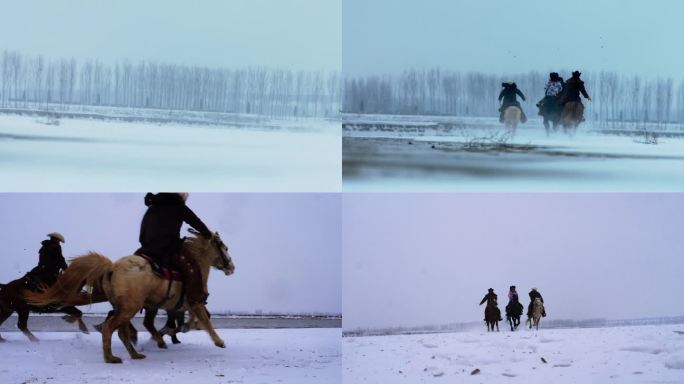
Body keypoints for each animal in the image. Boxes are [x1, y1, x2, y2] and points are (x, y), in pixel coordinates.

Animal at [26, 230, 235, 364]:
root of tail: (111, 267)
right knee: (112, 328)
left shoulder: (176, 306)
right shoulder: (194, 302)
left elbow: (183, 322)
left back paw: (135, 354)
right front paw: (219, 342)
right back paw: (111, 357)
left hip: (125, 309)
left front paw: (171, 334)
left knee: (121, 331)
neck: (195, 266)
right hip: (130, 308)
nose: (231, 267)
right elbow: (204, 320)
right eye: (224, 247)